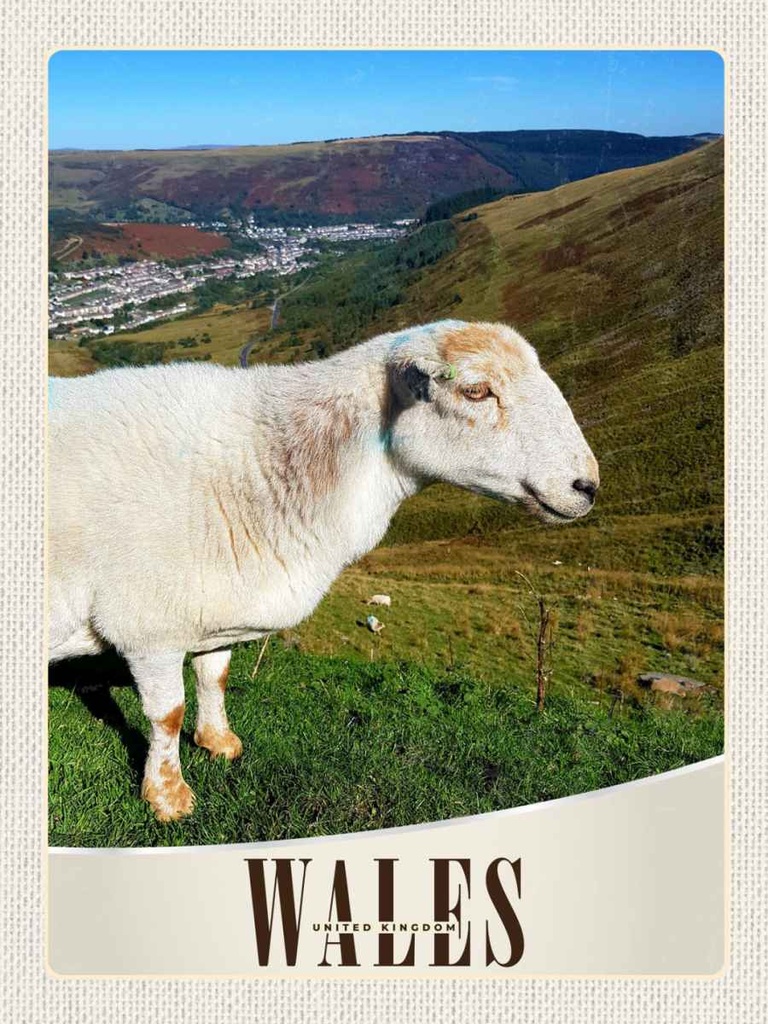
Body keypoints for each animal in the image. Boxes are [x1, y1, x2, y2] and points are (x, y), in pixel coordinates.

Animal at [48, 319, 598, 821]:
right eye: (476, 390)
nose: (588, 486)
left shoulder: (213, 610)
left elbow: (214, 678)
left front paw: (220, 742)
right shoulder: (150, 626)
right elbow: (167, 715)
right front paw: (168, 798)